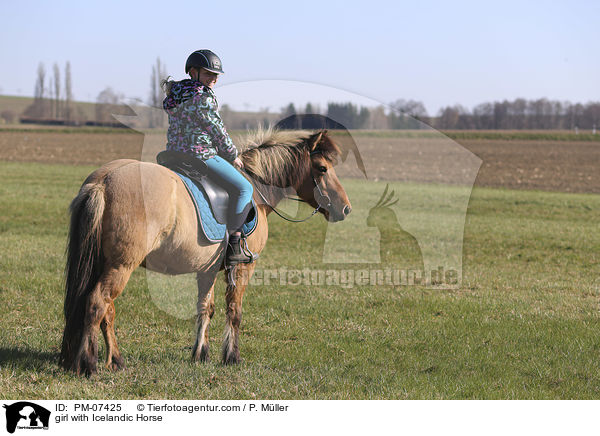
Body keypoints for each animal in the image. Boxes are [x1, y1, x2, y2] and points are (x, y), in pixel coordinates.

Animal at [59, 129, 352, 374]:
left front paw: (201, 354)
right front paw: (231, 356)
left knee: (106, 309)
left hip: (105, 263)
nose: (346, 208)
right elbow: (234, 311)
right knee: (98, 303)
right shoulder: (244, 267)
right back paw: (88, 364)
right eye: (323, 168)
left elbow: (205, 308)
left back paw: (116, 360)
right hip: (121, 265)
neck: (257, 190)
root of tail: (103, 181)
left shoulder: (207, 269)